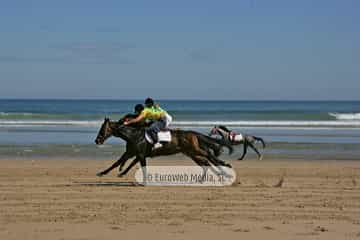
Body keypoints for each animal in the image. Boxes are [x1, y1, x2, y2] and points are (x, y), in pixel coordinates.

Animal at [94, 117, 233, 183]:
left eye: (103, 128)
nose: (97, 141)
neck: (134, 135)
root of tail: (193, 133)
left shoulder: (140, 154)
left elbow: (141, 166)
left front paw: (144, 181)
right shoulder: (131, 152)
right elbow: (117, 162)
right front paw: (103, 173)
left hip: (195, 151)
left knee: (209, 156)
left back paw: (225, 166)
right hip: (192, 153)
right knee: (206, 162)